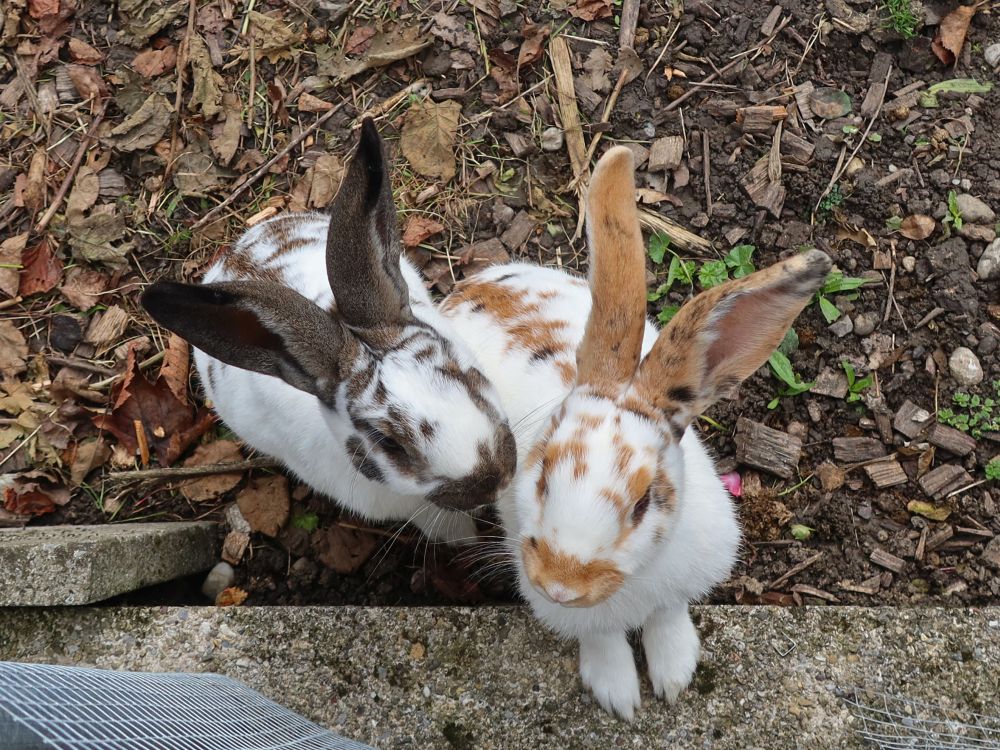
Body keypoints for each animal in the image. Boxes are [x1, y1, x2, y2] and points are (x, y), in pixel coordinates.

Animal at [440, 146, 831, 718]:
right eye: (541, 476)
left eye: (645, 502)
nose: (561, 587)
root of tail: (471, 284)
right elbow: (602, 638)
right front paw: (619, 694)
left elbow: (668, 615)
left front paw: (674, 676)